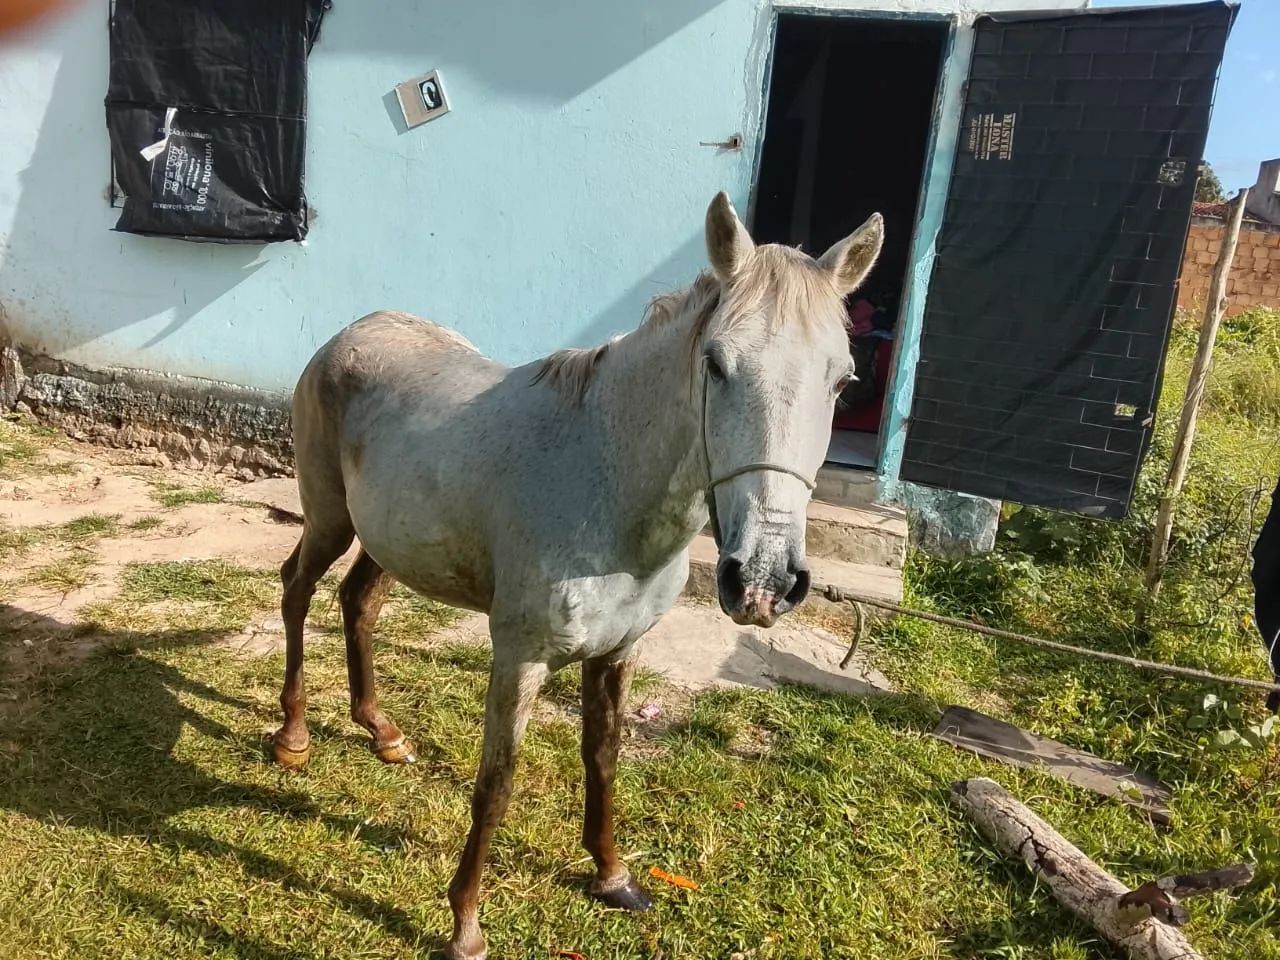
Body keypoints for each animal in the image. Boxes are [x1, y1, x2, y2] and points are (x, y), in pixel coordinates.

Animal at [273, 192, 883, 959]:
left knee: (357, 604)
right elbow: (495, 785)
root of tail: (354, 331)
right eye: (716, 363)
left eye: (844, 379)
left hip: (389, 540)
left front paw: (612, 876)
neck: (603, 483)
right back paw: (292, 736)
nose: (764, 580)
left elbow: (603, 757)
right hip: (329, 519)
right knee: (297, 591)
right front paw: (465, 924)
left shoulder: (617, 652)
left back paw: (381, 732)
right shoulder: (520, 659)